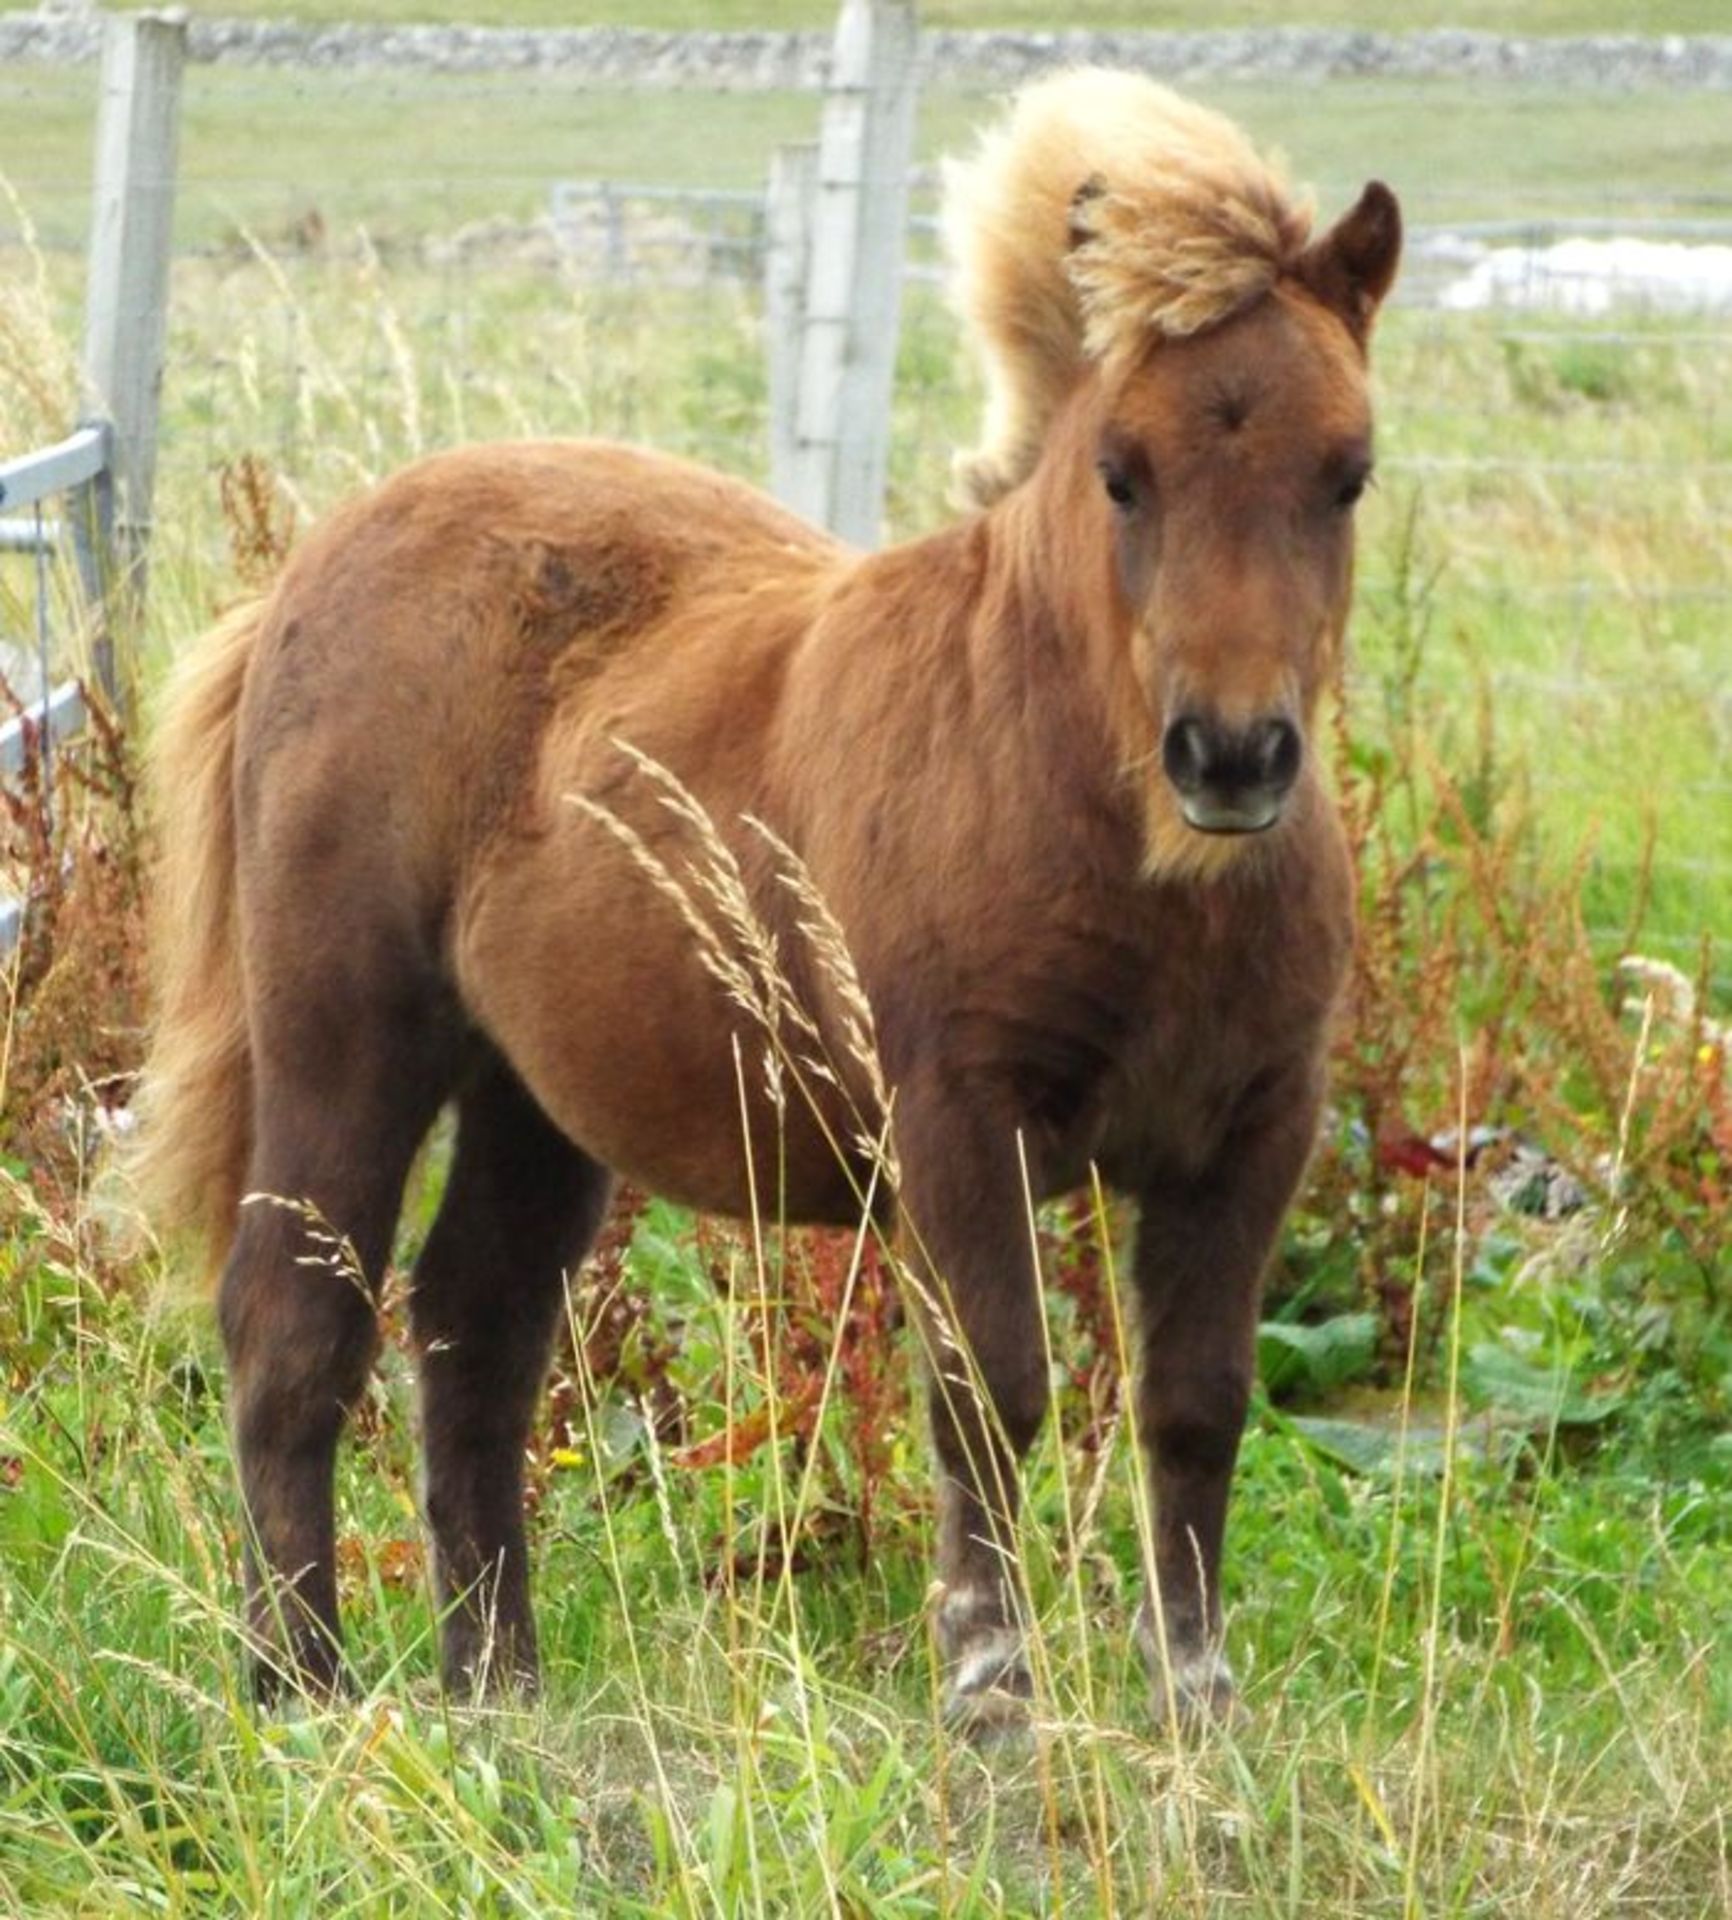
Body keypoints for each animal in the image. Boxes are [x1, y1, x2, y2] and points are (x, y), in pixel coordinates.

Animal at [132, 71, 1397, 1728]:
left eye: (1348, 470)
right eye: (1120, 471)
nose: (1233, 755)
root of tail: (303, 577)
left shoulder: (1252, 1134)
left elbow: (1194, 1406)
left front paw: (1198, 1713)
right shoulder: (958, 1119)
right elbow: (990, 1392)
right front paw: (990, 1700)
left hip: (534, 1094)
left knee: (475, 1333)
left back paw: (502, 1697)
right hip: (346, 1035)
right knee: (295, 1322)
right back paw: (302, 1693)